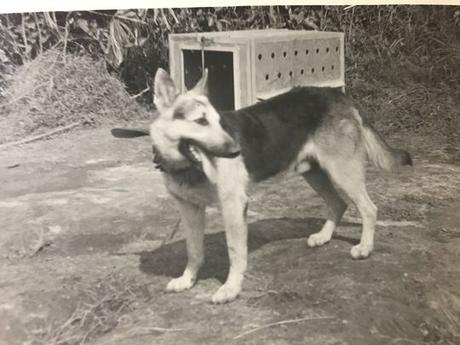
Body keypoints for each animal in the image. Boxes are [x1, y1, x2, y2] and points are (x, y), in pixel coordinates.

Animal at [112, 68, 414, 304]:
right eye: (200, 121)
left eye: (219, 122)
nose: (236, 151)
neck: (185, 166)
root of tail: (339, 95)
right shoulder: (189, 210)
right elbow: (194, 251)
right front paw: (187, 280)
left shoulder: (233, 206)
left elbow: (235, 252)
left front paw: (231, 289)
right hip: (315, 173)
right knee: (338, 204)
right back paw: (324, 237)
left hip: (343, 173)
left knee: (369, 209)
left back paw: (365, 248)